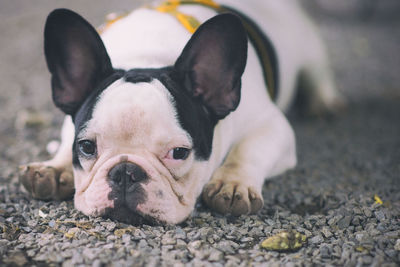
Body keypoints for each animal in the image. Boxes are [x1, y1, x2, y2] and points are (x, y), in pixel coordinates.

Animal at [19, 0, 344, 226]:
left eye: (179, 153)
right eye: (86, 147)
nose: (125, 172)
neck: (149, 55)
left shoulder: (273, 125)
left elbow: (249, 150)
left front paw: (233, 183)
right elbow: (64, 142)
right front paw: (55, 167)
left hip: (310, 48)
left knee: (318, 73)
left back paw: (323, 102)